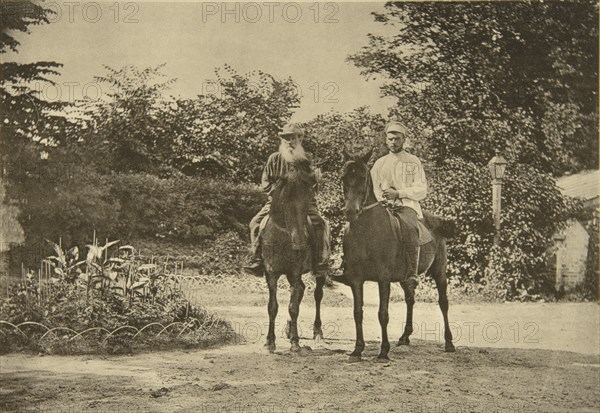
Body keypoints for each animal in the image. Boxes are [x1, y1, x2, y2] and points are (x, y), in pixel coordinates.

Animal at [260, 164, 326, 350]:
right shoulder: (272, 273)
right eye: (285, 201)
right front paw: (270, 341)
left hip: (319, 272)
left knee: (317, 295)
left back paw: (317, 331)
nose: (300, 242)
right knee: (301, 290)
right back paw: (289, 329)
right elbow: (273, 307)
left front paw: (295, 343)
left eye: (307, 201)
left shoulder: (295, 271)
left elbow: (293, 307)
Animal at [342, 152, 454, 360]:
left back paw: (449, 342)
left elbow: (383, 314)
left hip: (439, 271)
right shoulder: (356, 279)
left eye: (363, 178)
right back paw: (405, 337)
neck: (367, 232)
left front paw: (384, 351)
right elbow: (357, 312)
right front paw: (357, 349)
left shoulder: (383, 278)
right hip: (405, 277)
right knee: (410, 299)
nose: (350, 212)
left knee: (443, 302)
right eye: (343, 178)